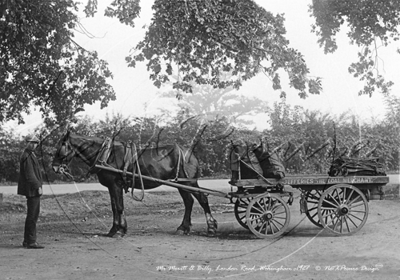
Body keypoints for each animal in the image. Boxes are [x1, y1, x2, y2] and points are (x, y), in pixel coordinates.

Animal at [52, 131, 219, 236]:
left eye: (60, 147)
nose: (54, 167)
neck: (107, 155)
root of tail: (189, 153)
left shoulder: (115, 185)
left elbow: (118, 207)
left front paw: (118, 231)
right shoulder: (114, 187)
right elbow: (115, 206)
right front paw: (116, 229)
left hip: (189, 181)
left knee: (202, 199)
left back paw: (211, 227)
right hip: (181, 184)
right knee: (189, 202)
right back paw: (183, 228)